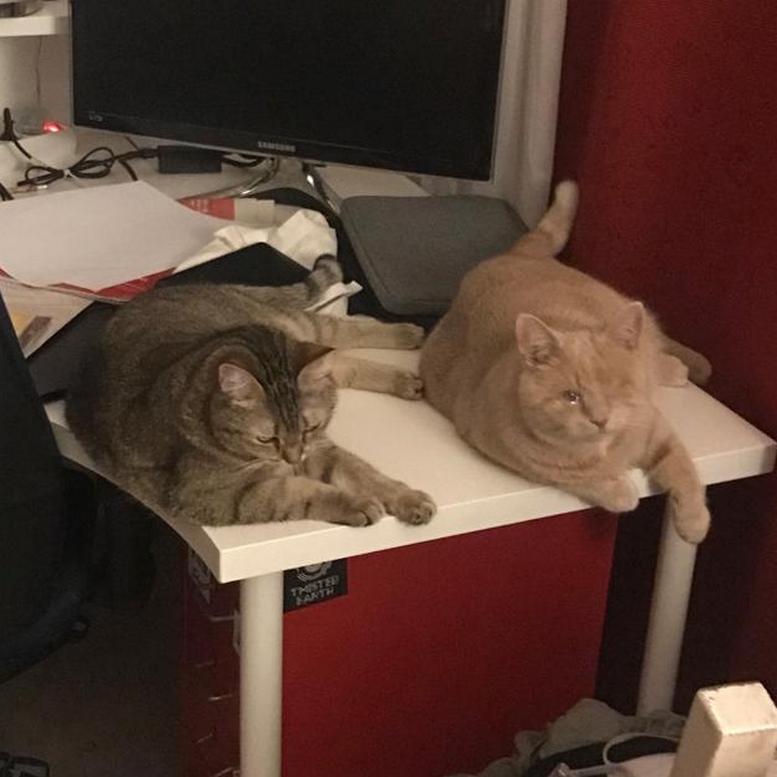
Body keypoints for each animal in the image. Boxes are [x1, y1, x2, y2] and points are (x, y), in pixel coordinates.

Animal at [66, 255, 436, 528]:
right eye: (266, 439)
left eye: (310, 427)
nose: (293, 459)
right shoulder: (226, 496)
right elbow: (307, 493)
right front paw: (358, 504)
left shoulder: (318, 447)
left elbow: (364, 473)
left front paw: (408, 499)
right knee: (345, 361)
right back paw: (408, 376)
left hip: (304, 330)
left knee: (342, 331)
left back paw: (409, 335)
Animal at [419, 181, 712, 543]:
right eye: (571, 397)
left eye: (615, 390)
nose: (600, 420)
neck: (607, 449)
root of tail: (514, 254)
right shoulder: (509, 452)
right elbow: (578, 480)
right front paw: (620, 491)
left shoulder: (656, 428)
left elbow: (682, 466)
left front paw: (694, 522)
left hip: (626, 312)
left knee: (656, 346)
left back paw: (683, 368)